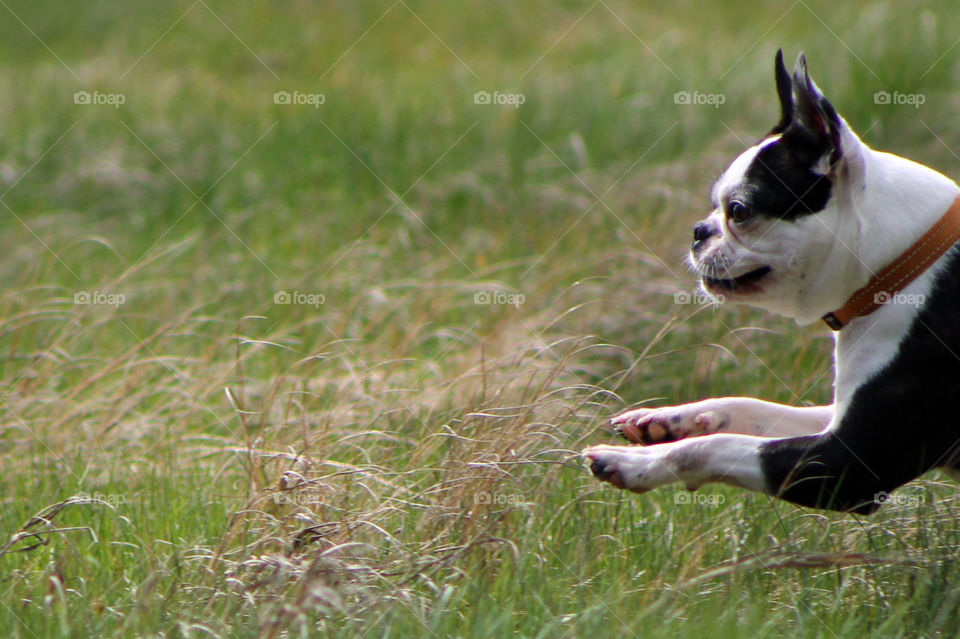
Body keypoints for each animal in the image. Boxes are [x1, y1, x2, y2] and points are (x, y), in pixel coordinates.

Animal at [580, 52, 960, 516]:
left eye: (739, 211)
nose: (698, 231)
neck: (903, 261)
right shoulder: (833, 419)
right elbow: (749, 407)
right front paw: (667, 420)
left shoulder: (848, 461)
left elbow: (715, 446)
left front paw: (635, 462)